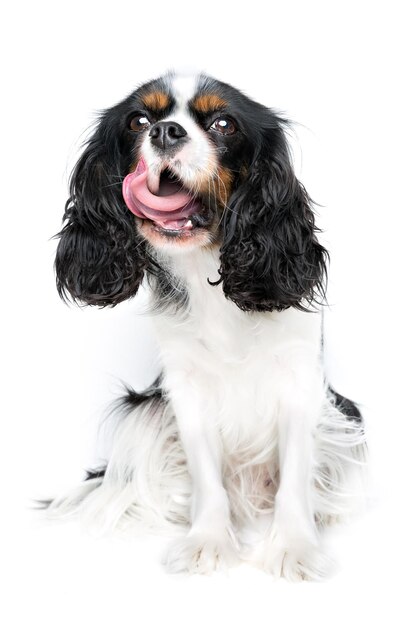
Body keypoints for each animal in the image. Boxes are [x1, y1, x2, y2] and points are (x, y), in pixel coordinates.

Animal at [48, 70, 366, 576]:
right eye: (139, 121)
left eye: (223, 124)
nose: (165, 131)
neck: (208, 265)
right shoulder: (185, 388)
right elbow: (205, 475)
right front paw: (208, 540)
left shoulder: (301, 381)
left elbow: (296, 472)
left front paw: (294, 546)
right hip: (145, 409)